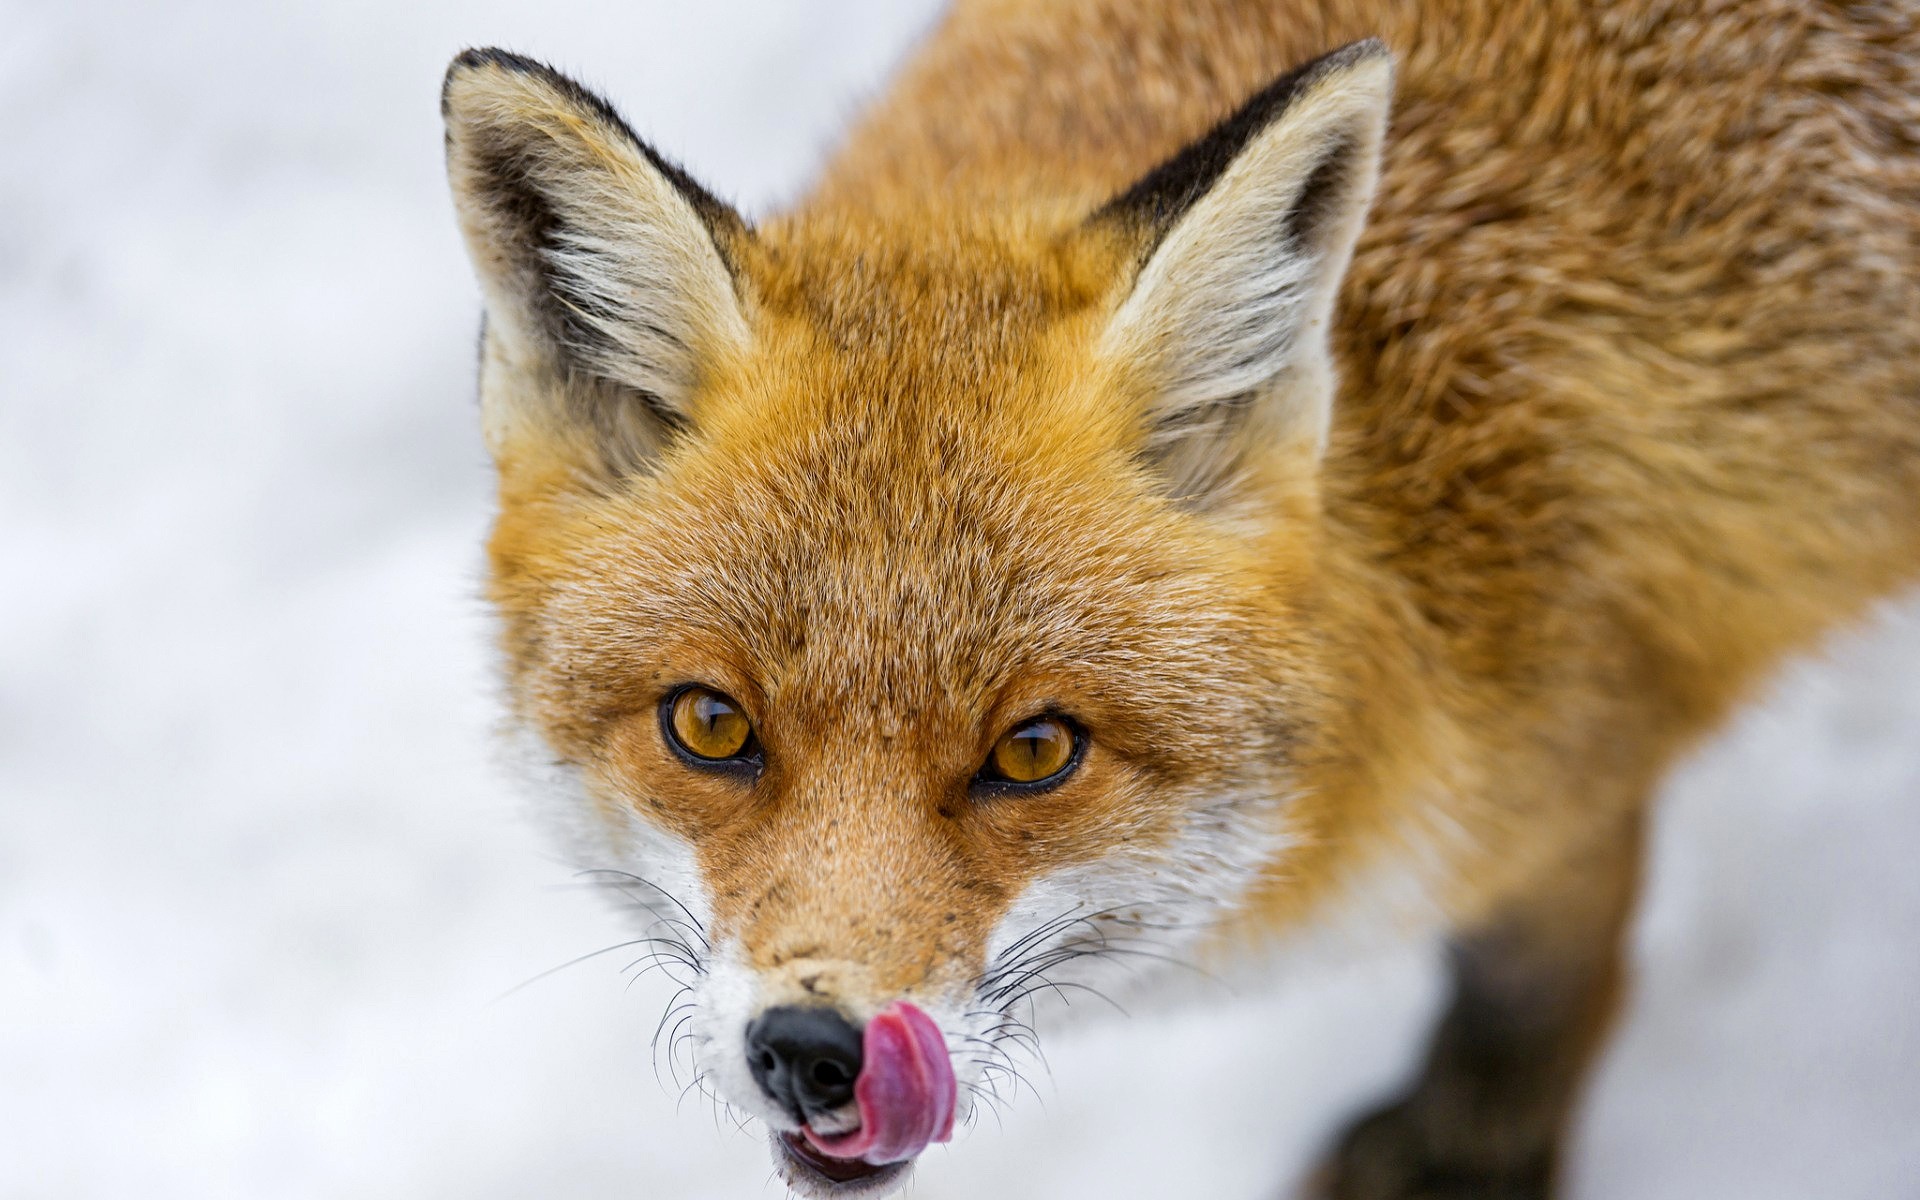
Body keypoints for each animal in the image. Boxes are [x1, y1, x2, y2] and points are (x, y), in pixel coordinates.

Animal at [435, 0, 1920, 1190]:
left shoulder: (1576, 745)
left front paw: (1467, 1148)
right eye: (710, 726)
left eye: (1037, 750)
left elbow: (1539, 965)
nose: (813, 1051)